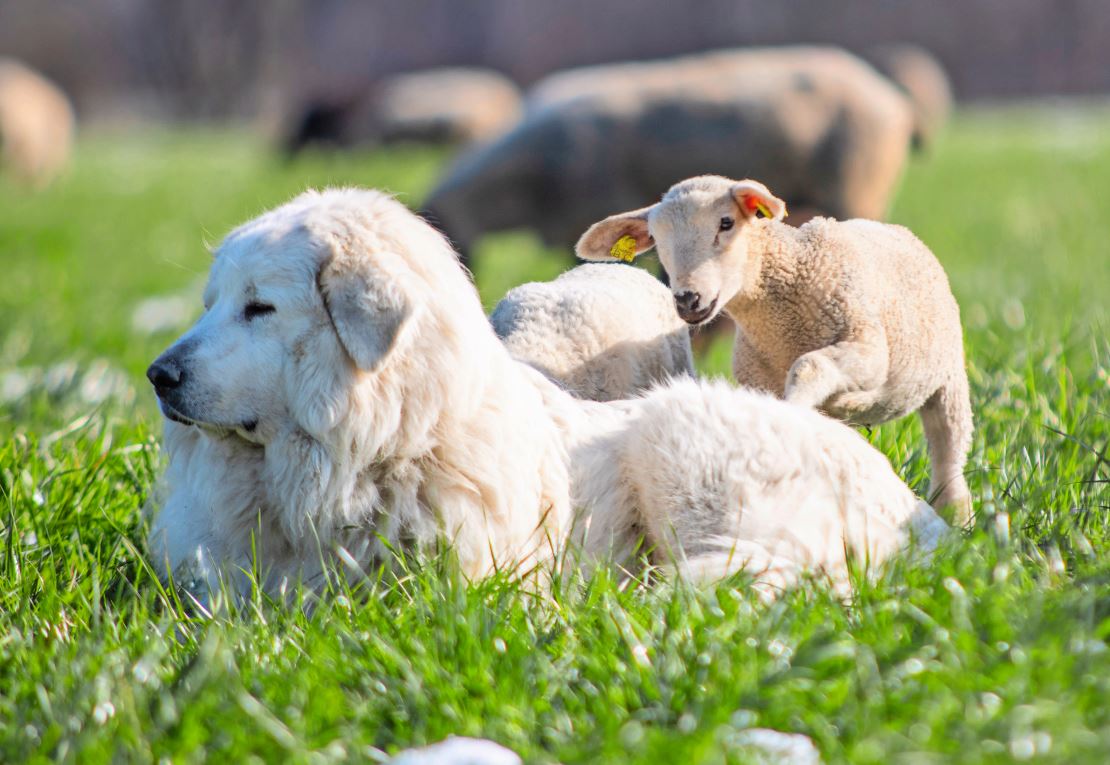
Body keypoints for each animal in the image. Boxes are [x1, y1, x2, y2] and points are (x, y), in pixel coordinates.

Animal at [577, 176, 976, 528]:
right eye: (657, 238)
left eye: (726, 222)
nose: (688, 299)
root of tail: (895, 230)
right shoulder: (758, 376)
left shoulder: (868, 350)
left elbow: (809, 365)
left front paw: (794, 407)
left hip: (948, 377)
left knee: (949, 454)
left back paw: (959, 520)